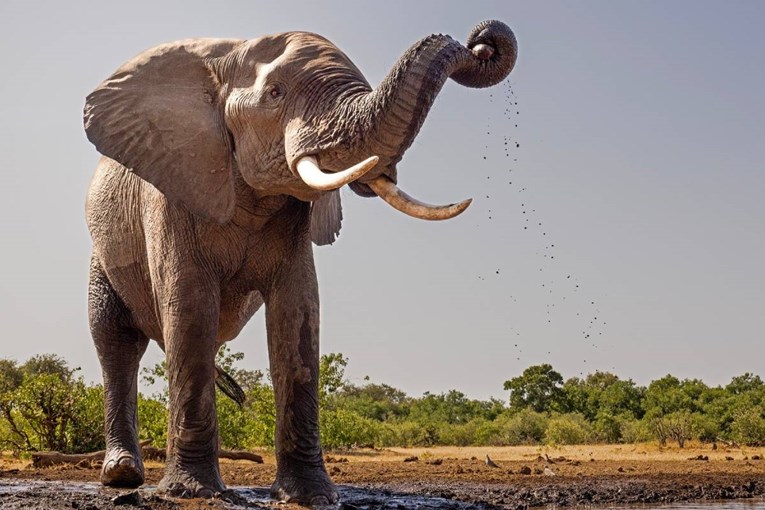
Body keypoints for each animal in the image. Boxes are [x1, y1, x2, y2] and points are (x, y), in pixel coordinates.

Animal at [82, 19, 512, 506]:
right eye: (276, 94)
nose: (482, 44)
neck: (225, 57)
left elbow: (298, 311)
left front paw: (311, 497)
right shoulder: (172, 188)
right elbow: (189, 307)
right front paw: (193, 493)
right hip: (103, 253)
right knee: (116, 340)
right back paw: (121, 475)